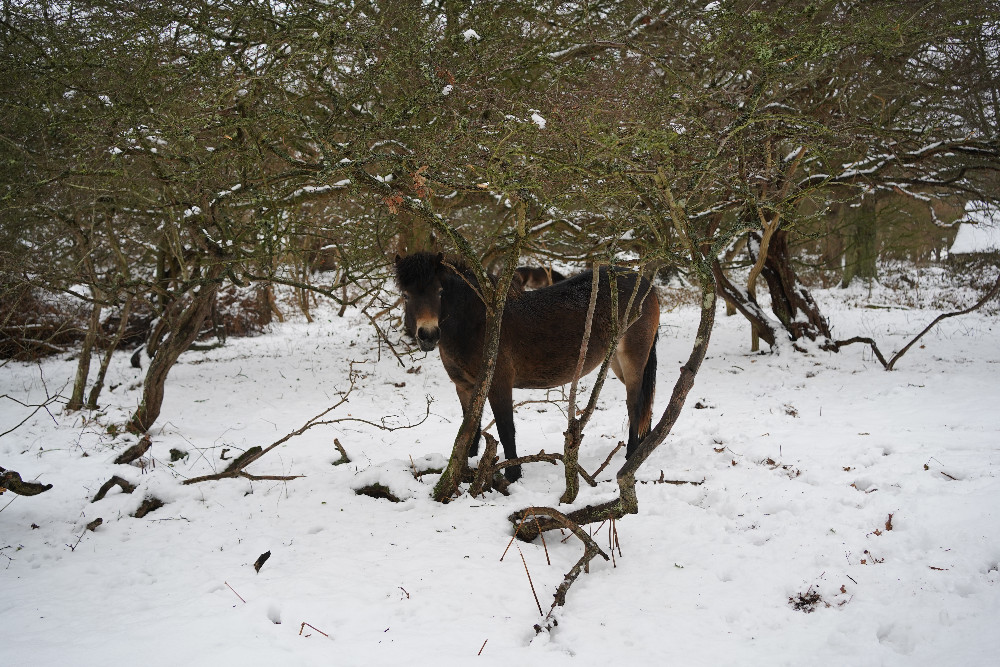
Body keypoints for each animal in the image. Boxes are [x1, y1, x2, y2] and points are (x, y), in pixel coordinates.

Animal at [394, 252, 659, 482]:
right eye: (406, 295)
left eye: (440, 292)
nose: (428, 335)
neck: (478, 321)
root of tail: (645, 283)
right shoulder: (465, 387)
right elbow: (469, 432)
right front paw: (461, 471)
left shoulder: (498, 384)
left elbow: (505, 429)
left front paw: (512, 475)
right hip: (616, 362)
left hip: (633, 358)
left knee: (635, 404)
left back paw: (632, 456)